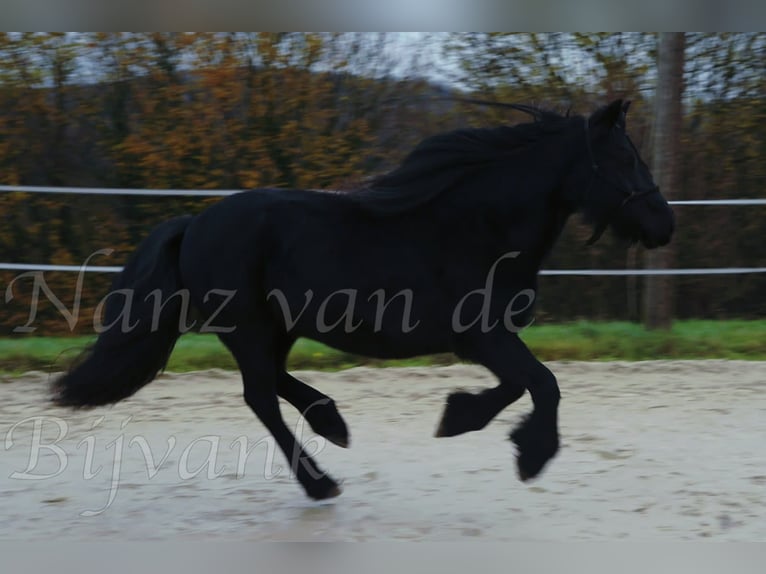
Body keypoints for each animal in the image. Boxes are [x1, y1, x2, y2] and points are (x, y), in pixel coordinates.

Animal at [52, 99, 675, 500]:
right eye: (624, 158)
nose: (664, 224)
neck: (479, 228)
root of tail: (194, 222)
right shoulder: (485, 335)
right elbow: (542, 383)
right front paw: (529, 453)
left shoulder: (485, 341)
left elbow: (519, 384)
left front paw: (459, 416)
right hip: (248, 327)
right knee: (261, 397)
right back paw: (321, 483)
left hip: (279, 328)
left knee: (276, 384)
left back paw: (333, 423)